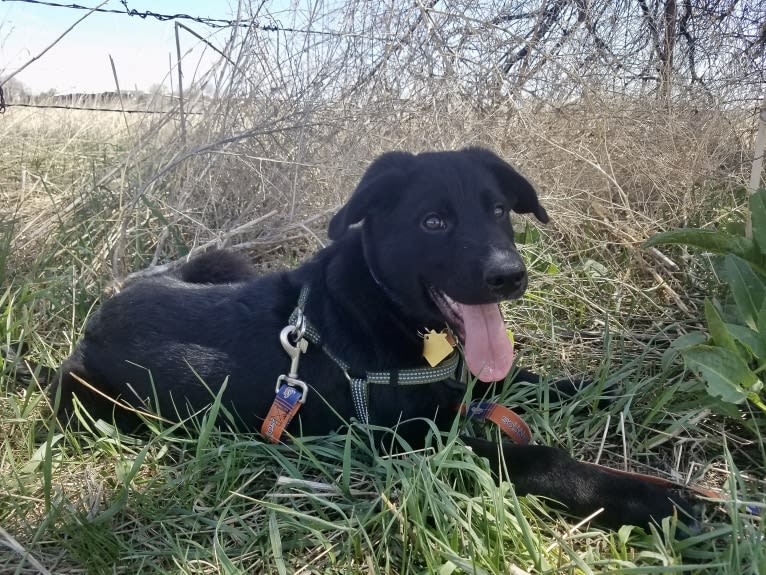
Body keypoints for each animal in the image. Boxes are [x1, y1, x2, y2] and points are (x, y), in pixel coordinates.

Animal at [51, 147, 692, 532]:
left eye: (499, 210)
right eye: (434, 222)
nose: (510, 275)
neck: (391, 312)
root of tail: (98, 316)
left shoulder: (468, 379)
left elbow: (542, 380)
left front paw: (634, 386)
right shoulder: (407, 440)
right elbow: (535, 458)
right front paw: (650, 499)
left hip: (219, 259)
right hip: (87, 403)